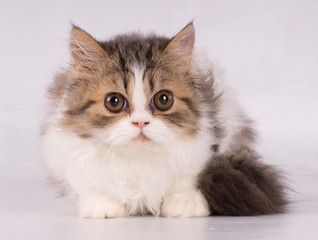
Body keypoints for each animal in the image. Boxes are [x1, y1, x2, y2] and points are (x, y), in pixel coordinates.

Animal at [41, 22, 286, 218]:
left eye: (163, 99)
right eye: (114, 102)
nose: (140, 122)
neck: (138, 160)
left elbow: (188, 177)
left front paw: (185, 201)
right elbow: (88, 182)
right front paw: (101, 203)